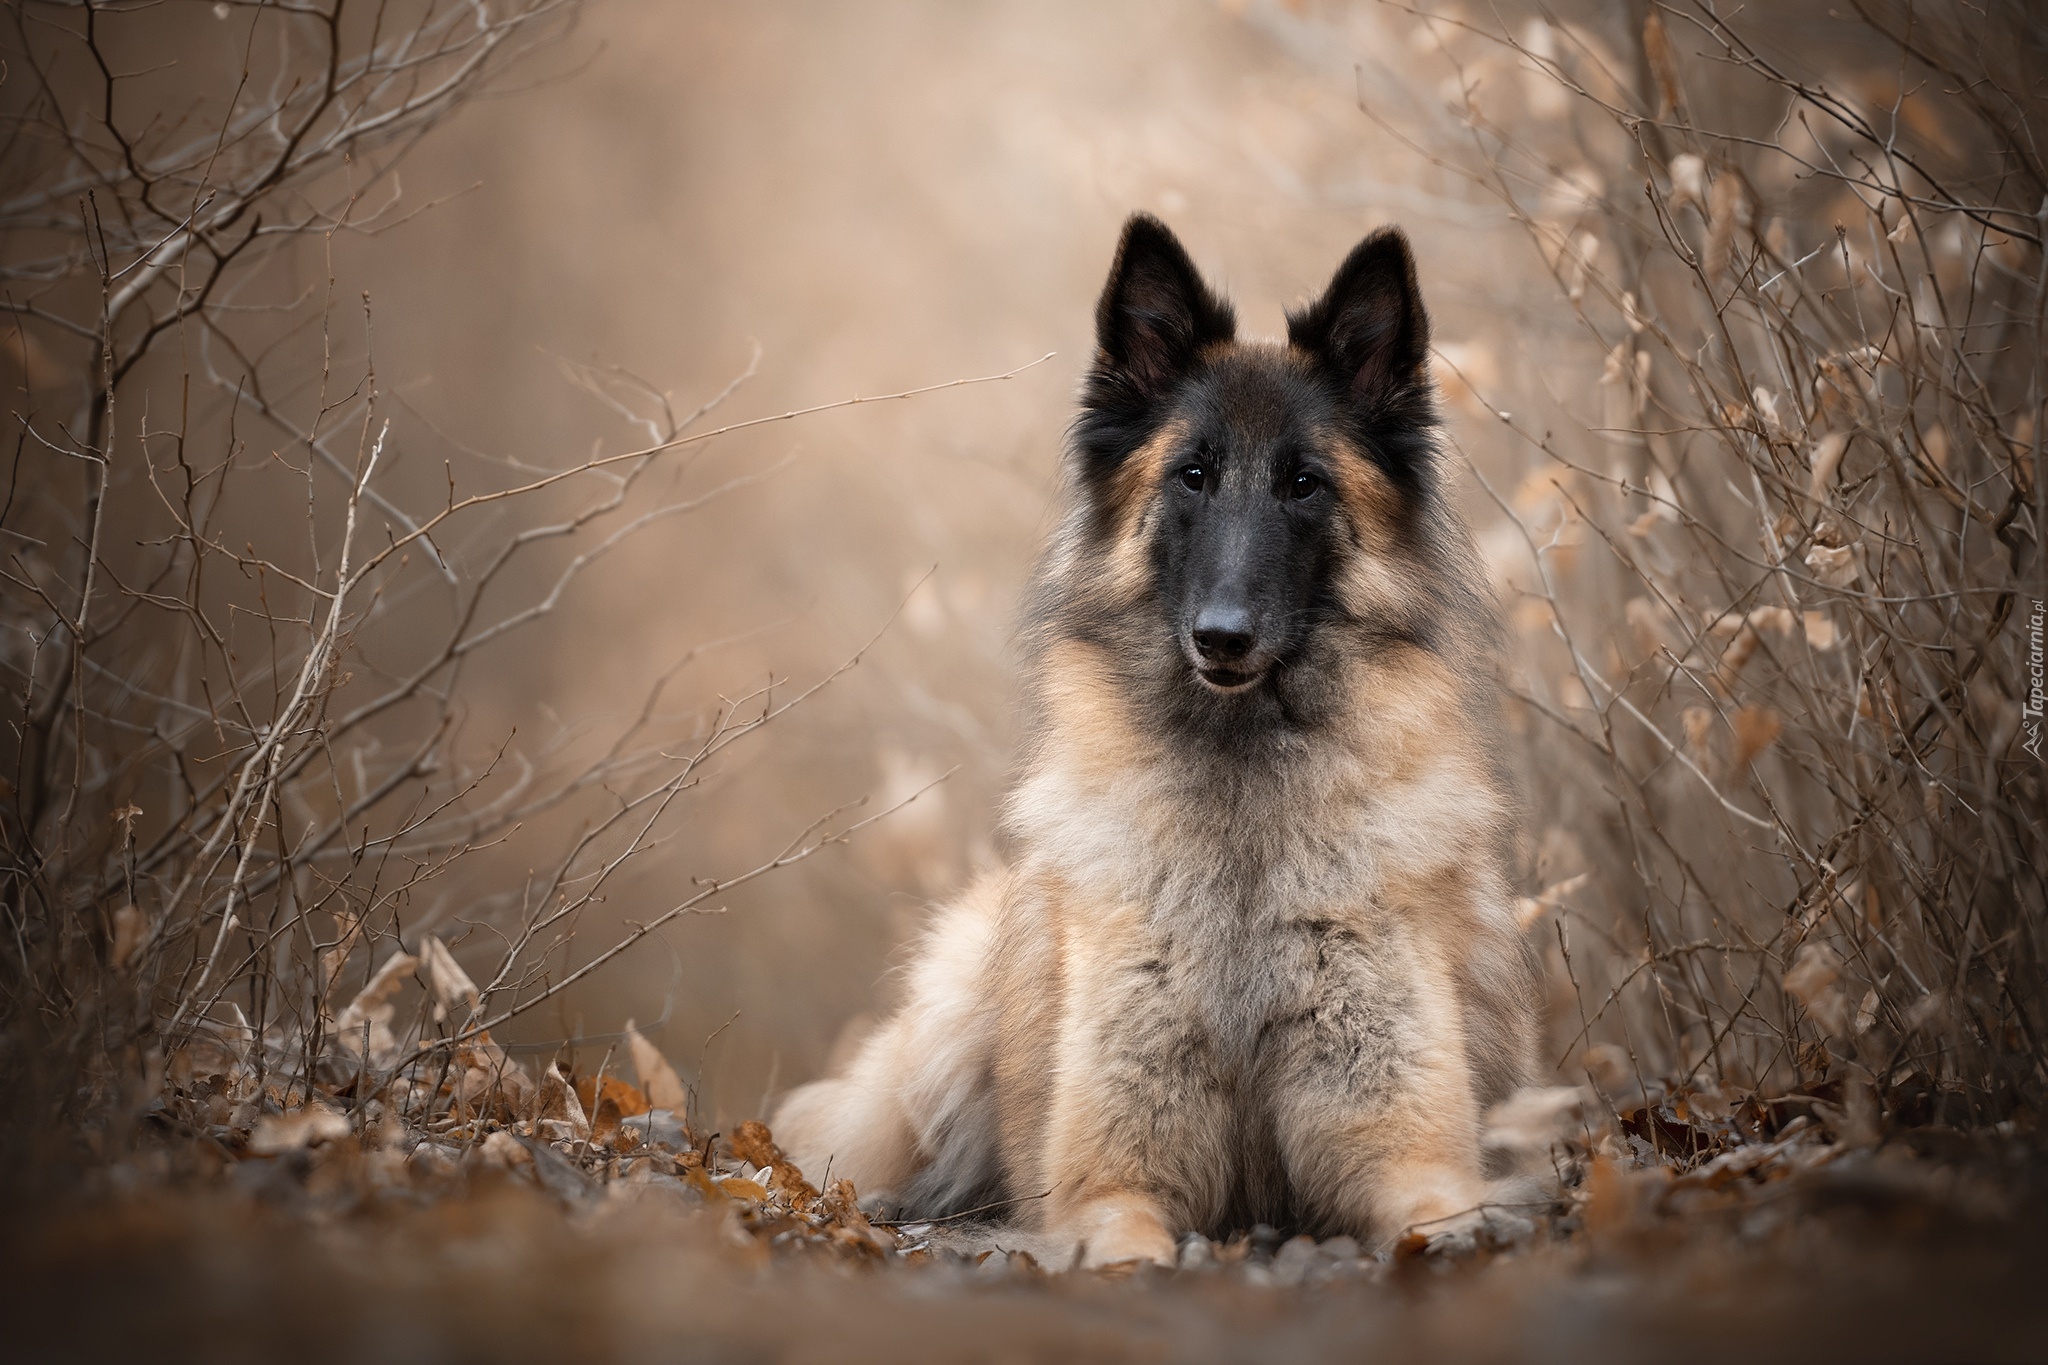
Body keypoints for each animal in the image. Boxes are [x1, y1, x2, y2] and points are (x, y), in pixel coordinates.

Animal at [770, 215, 1540, 1268]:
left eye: (1304, 484)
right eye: (1193, 475)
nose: (1221, 637)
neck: (1243, 805)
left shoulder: (1410, 1151)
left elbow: (1441, 1210)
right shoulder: (1109, 1184)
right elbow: (1124, 1236)